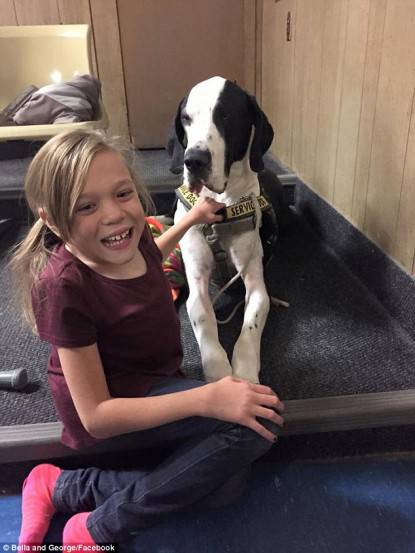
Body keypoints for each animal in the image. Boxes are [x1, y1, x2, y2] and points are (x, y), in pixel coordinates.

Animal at [168, 76, 282, 383]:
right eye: (186, 118)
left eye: (226, 115)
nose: (194, 159)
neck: (220, 207)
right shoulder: (197, 283)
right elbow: (204, 318)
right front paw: (220, 374)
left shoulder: (256, 282)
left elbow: (250, 324)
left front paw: (244, 373)